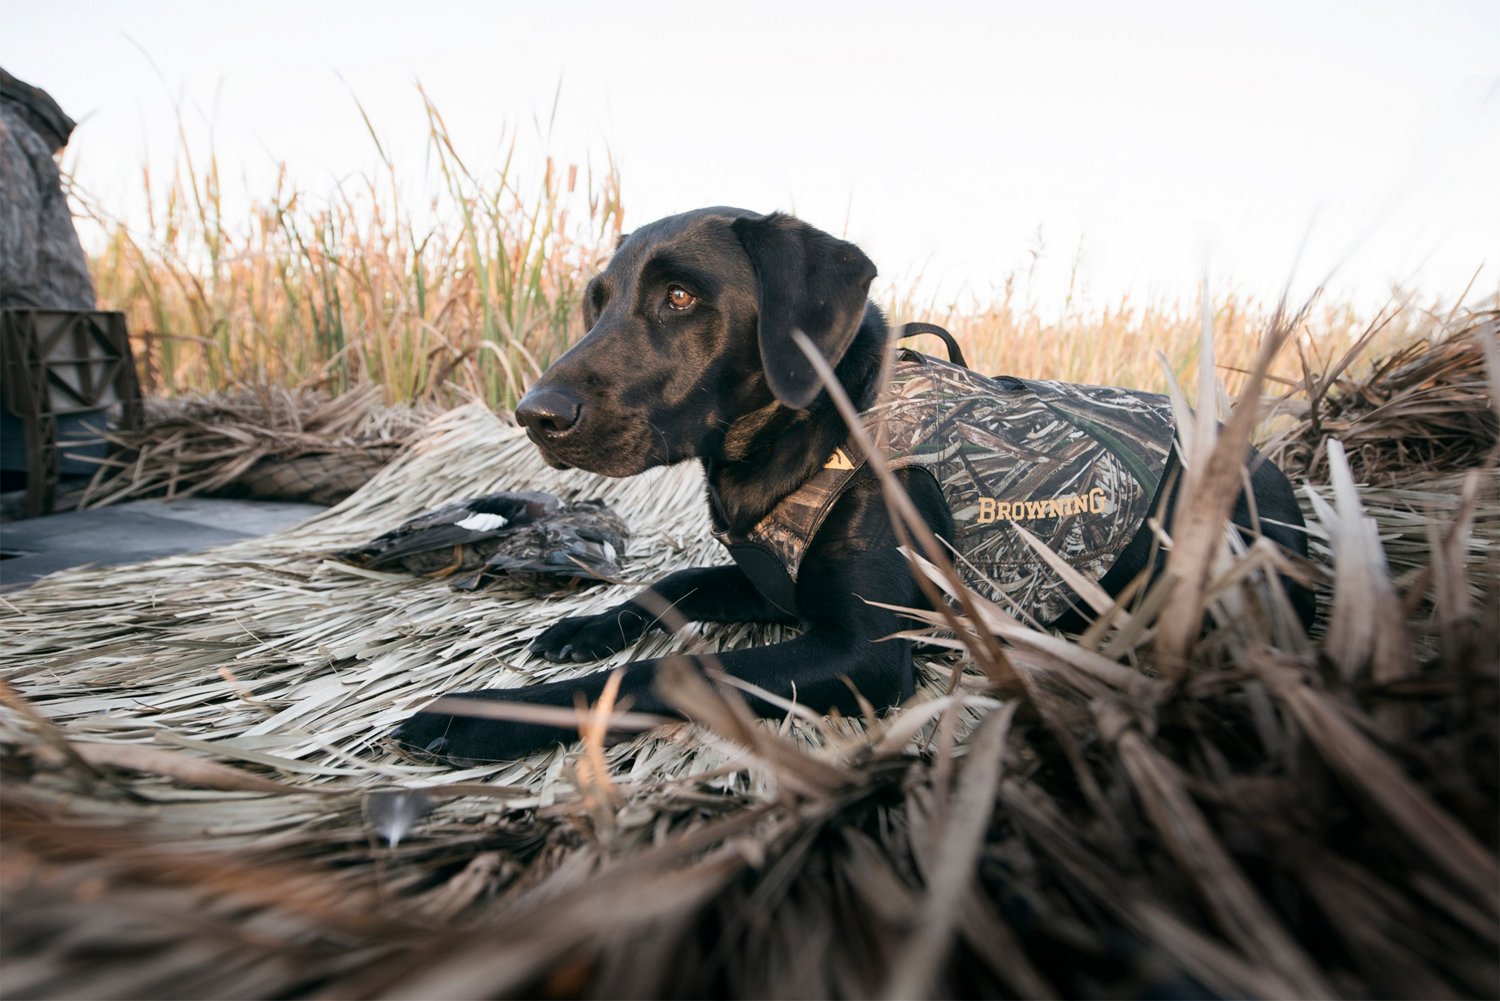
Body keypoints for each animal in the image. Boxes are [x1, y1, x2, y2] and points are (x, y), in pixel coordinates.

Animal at [396, 207, 1302, 762]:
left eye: (680, 295)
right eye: (598, 302)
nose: (534, 414)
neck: (809, 432)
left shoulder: (863, 651)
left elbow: (668, 672)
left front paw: (476, 713)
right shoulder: (776, 583)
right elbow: (671, 583)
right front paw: (582, 626)